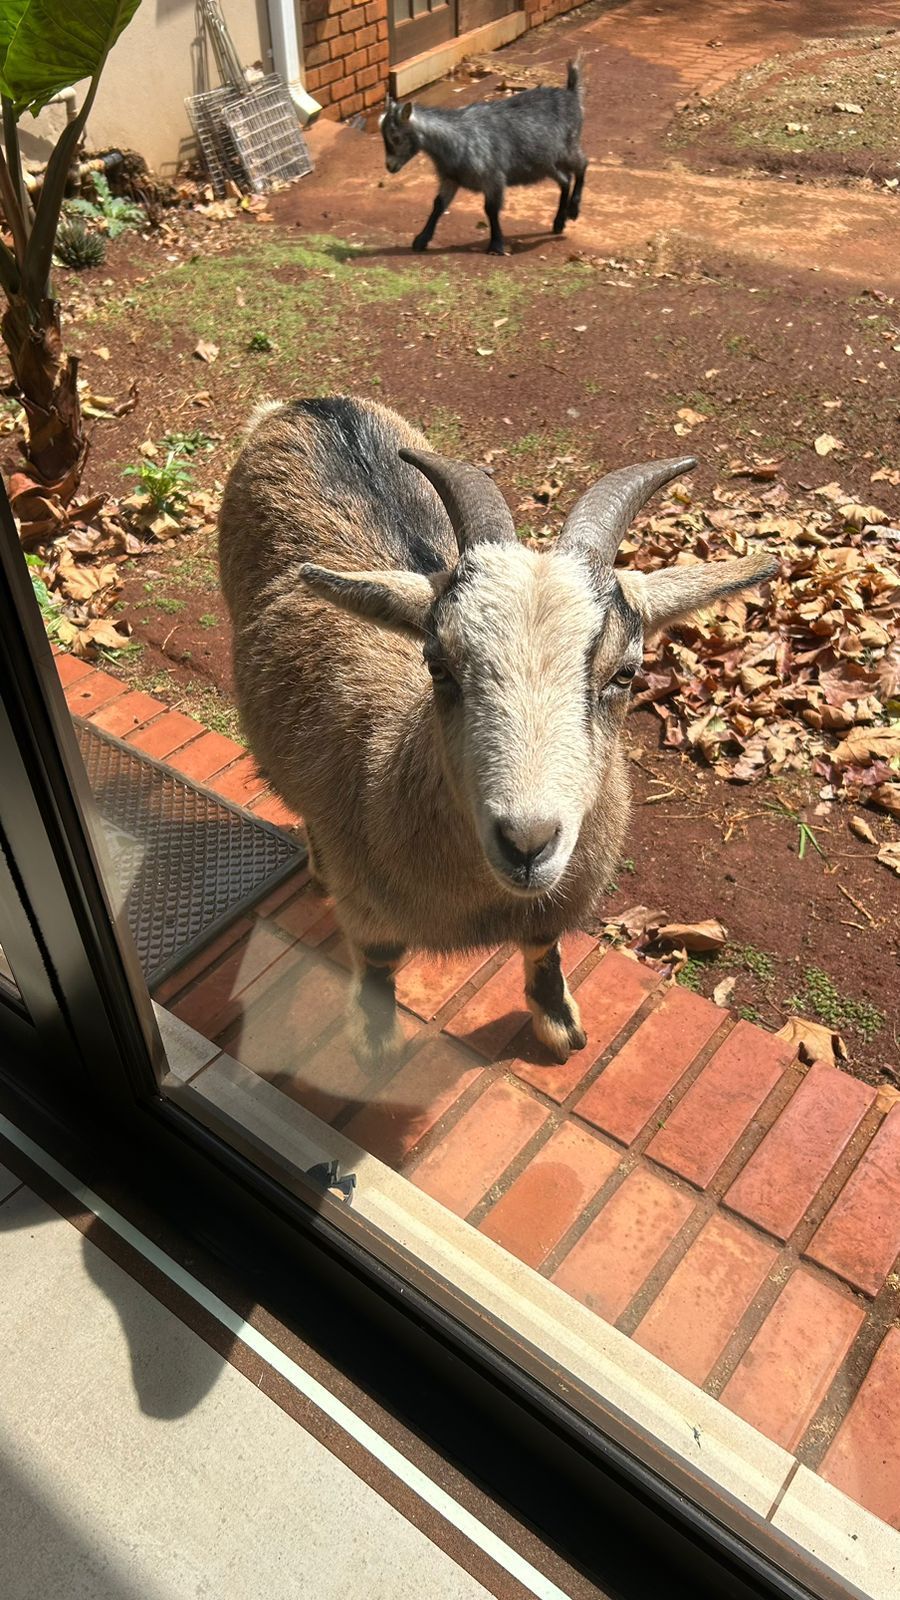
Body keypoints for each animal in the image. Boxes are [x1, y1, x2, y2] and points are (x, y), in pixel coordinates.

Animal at [218, 396, 776, 1070]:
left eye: (625, 673)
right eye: (438, 665)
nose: (527, 843)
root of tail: (309, 405)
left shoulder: (552, 902)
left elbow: (543, 946)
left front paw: (560, 1026)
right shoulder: (368, 905)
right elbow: (378, 960)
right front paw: (375, 1044)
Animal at [380, 62, 588, 256]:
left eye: (395, 137)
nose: (390, 166)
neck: (457, 137)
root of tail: (571, 94)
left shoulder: (493, 178)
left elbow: (490, 209)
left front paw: (496, 245)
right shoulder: (451, 178)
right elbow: (438, 204)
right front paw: (421, 240)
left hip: (566, 149)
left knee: (582, 165)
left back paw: (573, 210)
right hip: (545, 164)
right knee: (565, 180)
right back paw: (559, 222)